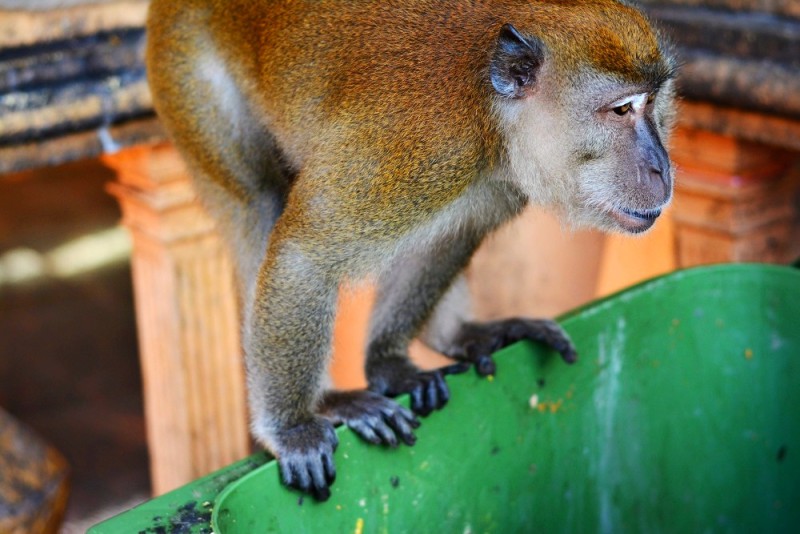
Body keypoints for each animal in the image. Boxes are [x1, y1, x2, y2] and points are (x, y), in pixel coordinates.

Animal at [145, 0, 676, 502]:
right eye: (621, 110)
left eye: (653, 103)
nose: (663, 170)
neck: (489, 112)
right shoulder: (414, 149)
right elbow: (303, 256)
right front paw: (294, 429)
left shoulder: (492, 175)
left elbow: (444, 240)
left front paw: (389, 363)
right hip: (185, 71)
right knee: (258, 200)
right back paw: (326, 401)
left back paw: (456, 333)